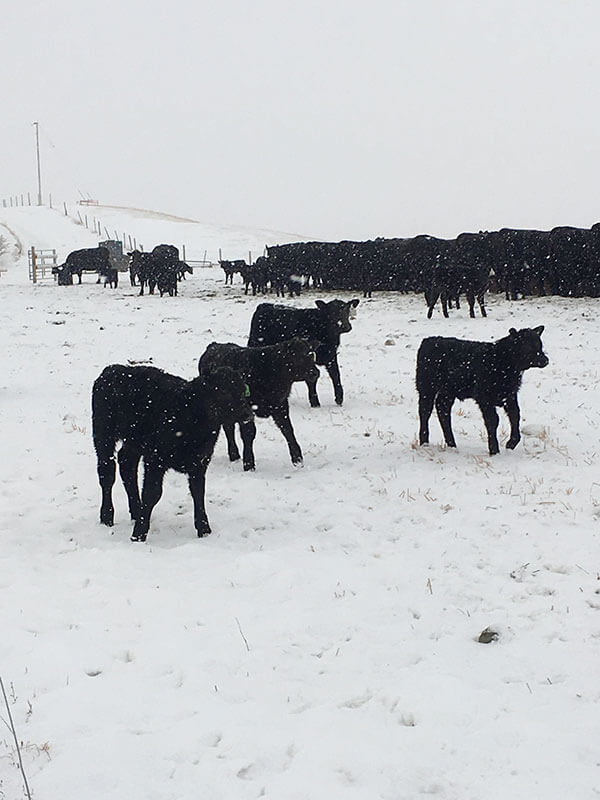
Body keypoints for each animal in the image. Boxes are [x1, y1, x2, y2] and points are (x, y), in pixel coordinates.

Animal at [92, 364, 253, 542]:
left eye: (243, 390)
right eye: (223, 391)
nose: (248, 414)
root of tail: (113, 369)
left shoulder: (200, 462)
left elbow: (198, 491)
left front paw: (204, 529)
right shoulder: (155, 459)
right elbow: (152, 493)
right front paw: (139, 534)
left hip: (133, 441)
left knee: (127, 465)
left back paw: (136, 511)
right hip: (103, 433)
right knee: (107, 472)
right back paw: (107, 516)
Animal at [198, 338, 319, 470]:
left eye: (311, 354)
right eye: (298, 356)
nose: (315, 372)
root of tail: (214, 345)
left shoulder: (281, 405)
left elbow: (287, 429)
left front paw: (297, 459)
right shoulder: (247, 409)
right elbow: (249, 434)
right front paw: (249, 464)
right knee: (229, 428)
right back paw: (234, 455)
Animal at [416, 326, 549, 456]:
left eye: (540, 345)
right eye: (528, 346)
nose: (545, 360)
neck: (502, 362)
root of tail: (429, 340)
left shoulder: (510, 395)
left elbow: (515, 415)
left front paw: (511, 443)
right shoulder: (484, 397)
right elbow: (493, 420)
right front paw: (494, 450)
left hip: (448, 391)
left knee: (442, 409)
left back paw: (452, 445)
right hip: (426, 387)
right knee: (425, 411)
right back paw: (424, 443)